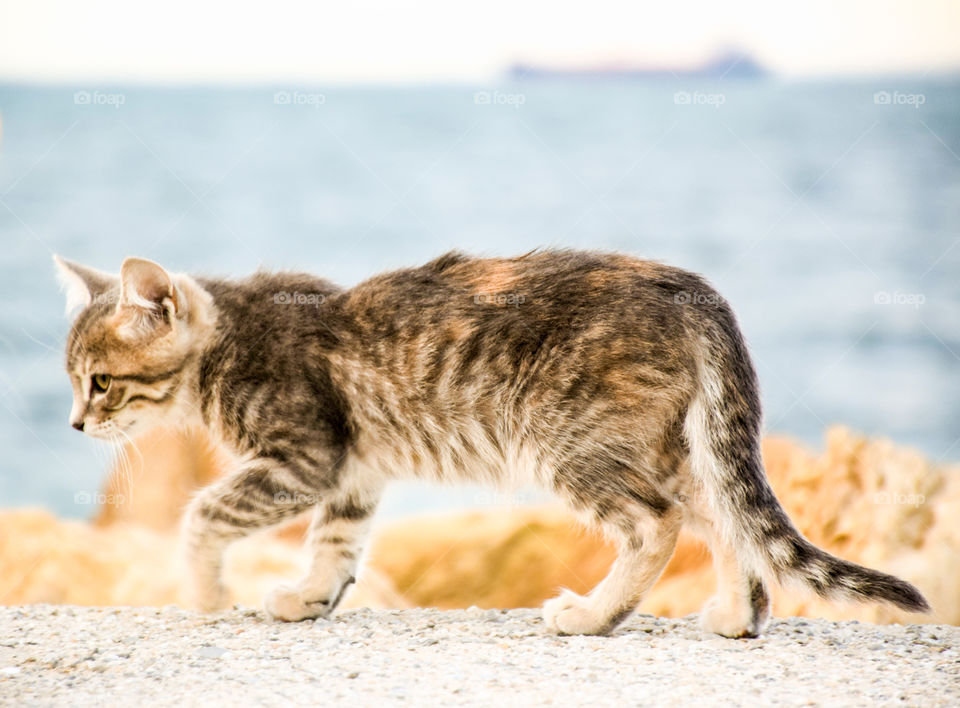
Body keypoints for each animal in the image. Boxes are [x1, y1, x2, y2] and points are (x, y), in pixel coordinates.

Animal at [56, 249, 928, 636]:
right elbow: (336, 547)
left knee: (659, 524)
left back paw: (594, 616)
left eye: (100, 382)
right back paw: (738, 614)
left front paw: (206, 594)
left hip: (568, 439)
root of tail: (689, 288)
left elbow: (202, 514)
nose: (74, 424)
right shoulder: (353, 474)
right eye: (73, 381)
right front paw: (309, 598)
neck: (230, 336)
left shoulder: (304, 458)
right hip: (669, 445)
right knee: (727, 517)